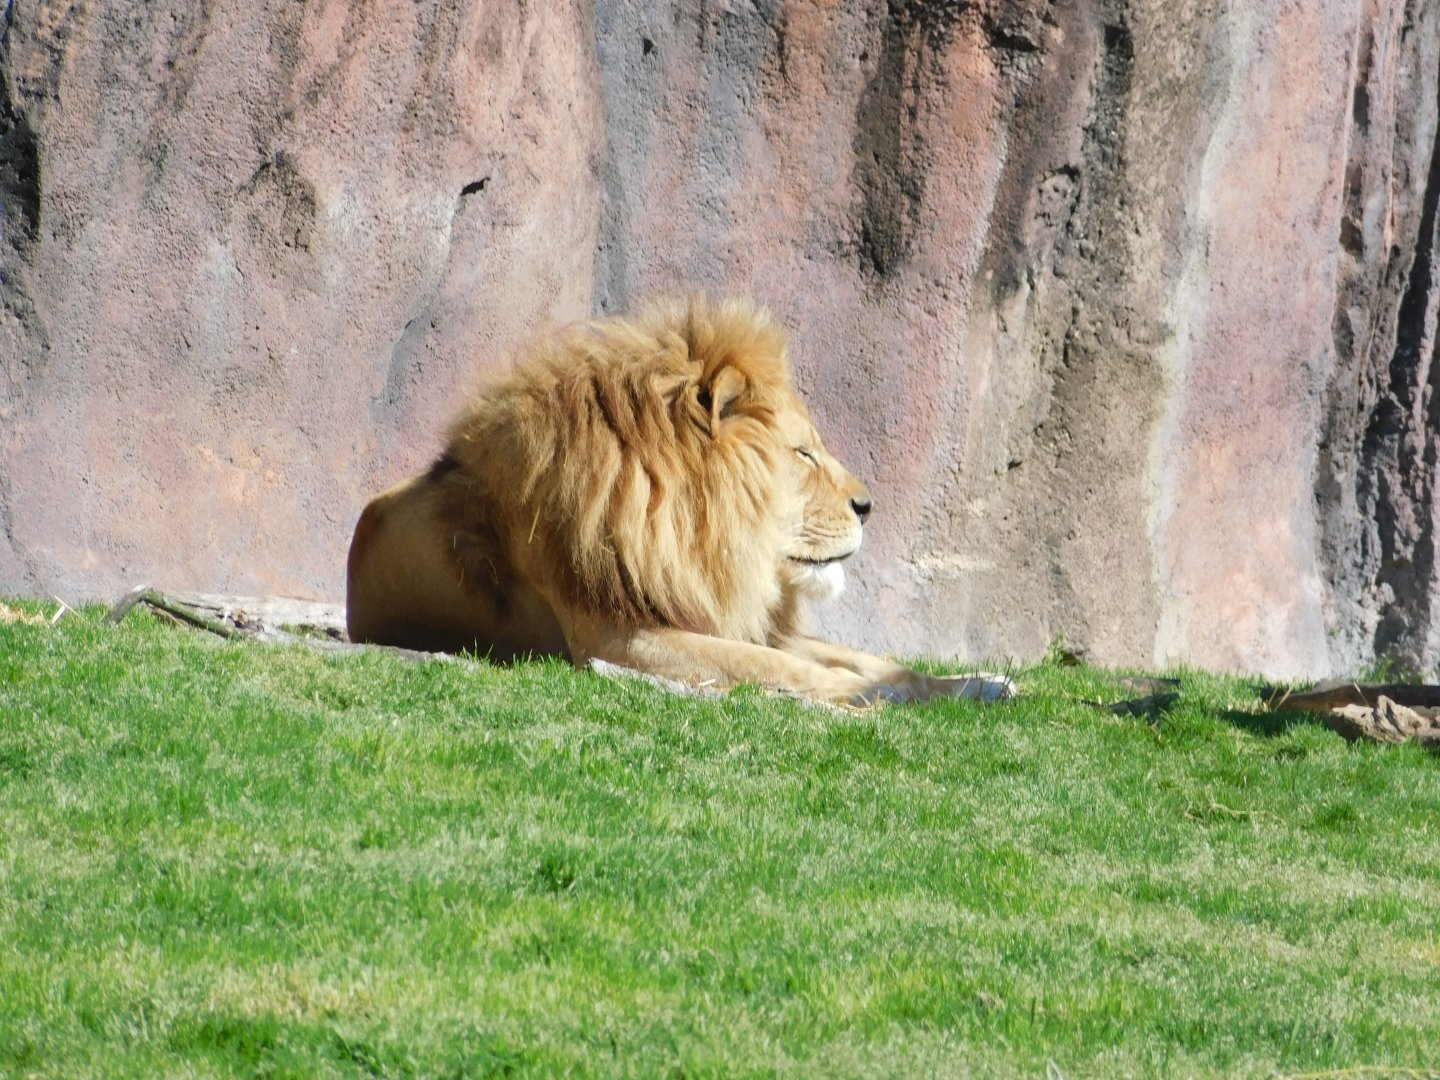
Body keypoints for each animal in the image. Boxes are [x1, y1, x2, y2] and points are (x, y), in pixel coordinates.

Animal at [346, 298, 1013, 705]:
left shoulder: (723, 612)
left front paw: (975, 685)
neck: (696, 531)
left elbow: (872, 659)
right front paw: (863, 697)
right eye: (803, 454)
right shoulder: (619, 640)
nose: (868, 505)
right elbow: (776, 668)